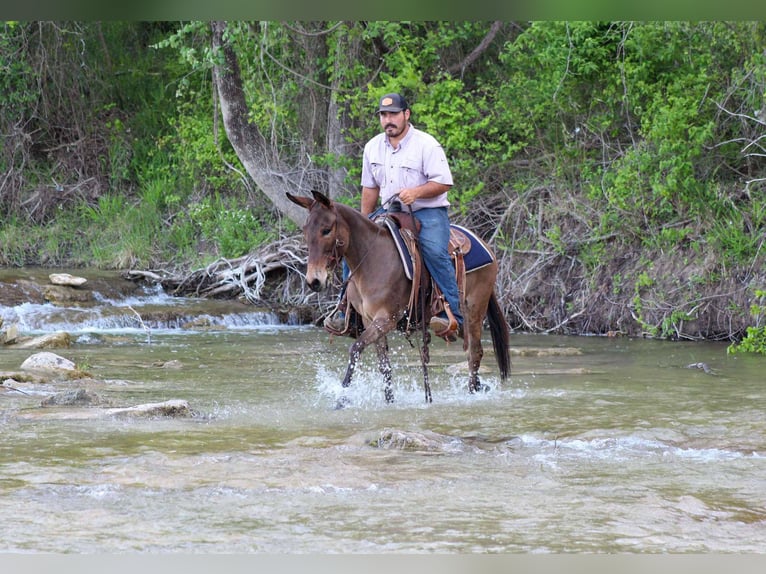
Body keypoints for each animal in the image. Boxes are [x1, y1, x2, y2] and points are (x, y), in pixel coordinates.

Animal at [287, 190, 511, 404]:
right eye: (305, 231)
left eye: (326, 230)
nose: (314, 281)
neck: (373, 260)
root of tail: (484, 244)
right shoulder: (369, 321)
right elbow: (384, 366)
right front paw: (389, 401)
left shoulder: (386, 319)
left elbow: (355, 349)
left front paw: (341, 401)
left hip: (474, 309)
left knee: (474, 353)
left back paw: (473, 393)